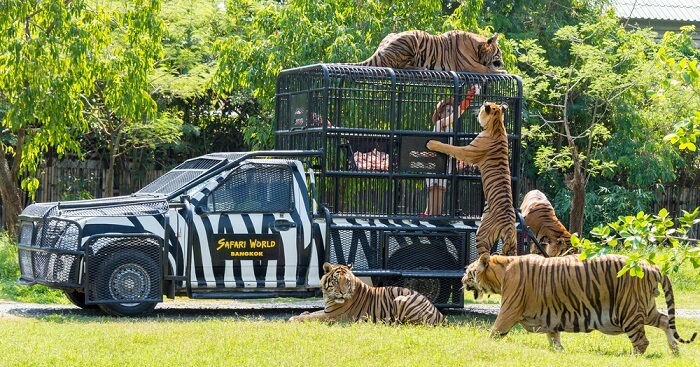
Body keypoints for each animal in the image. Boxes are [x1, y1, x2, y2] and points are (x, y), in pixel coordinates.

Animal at [288, 264, 442, 326]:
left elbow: (311, 317)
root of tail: (439, 313)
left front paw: (293, 318)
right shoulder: (327, 310)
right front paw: (304, 313)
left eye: (346, 281)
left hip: (400, 299)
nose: (343, 292)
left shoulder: (331, 315)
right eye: (336, 281)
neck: (329, 296)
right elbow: (312, 313)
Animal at [352, 30, 506, 74]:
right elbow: (488, 70)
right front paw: (504, 71)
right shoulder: (471, 66)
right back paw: (421, 68)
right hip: (411, 39)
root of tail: (379, 50)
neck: (477, 49)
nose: (503, 63)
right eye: (499, 53)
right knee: (398, 66)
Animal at [424, 100, 516, 256]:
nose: (482, 104)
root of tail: (509, 227)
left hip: (482, 234)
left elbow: (450, 147)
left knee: (484, 254)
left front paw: (432, 143)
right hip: (513, 243)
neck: (498, 125)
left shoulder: (467, 151)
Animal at [462, 254, 696, 356]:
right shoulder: (549, 317)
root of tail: (650, 265)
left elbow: (494, 331)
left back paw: (633, 358)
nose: (462, 280)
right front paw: (560, 353)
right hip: (645, 308)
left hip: (628, 311)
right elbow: (554, 338)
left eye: (468, 271)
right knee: (665, 321)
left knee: (642, 341)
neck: (500, 274)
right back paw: (674, 352)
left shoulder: (509, 310)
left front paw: (485, 345)